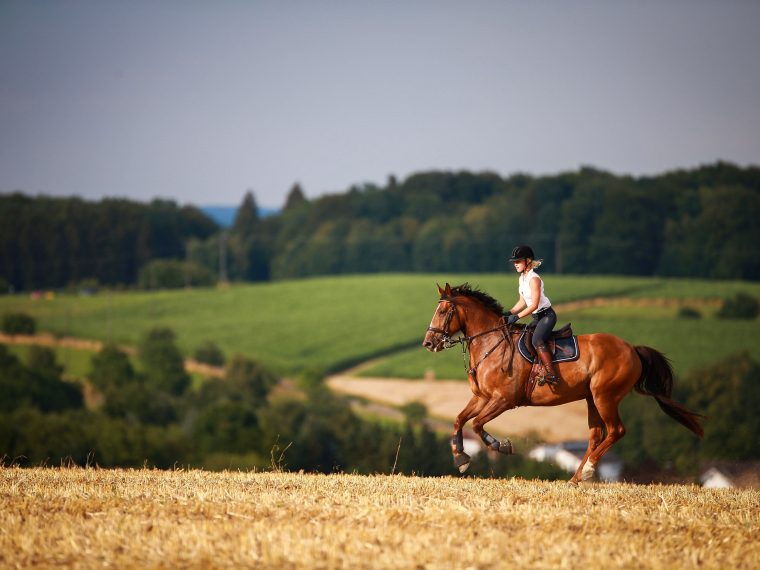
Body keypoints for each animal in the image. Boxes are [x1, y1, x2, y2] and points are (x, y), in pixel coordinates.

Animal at [418, 282, 704, 482]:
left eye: (443, 311)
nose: (428, 343)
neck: (491, 343)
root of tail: (632, 349)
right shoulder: (482, 397)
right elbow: (459, 420)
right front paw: (461, 459)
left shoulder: (504, 399)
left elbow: (477, 424)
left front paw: (502, 446)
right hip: (591, 398)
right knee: (596, 435)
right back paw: (576, 478)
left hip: (605, 396)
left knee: (616, 431)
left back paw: (587, 471)